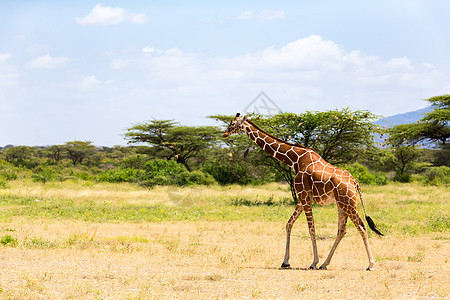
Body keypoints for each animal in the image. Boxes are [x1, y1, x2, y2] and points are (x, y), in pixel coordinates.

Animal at [222, 113, 384, 270]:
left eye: (232, 124)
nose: (224, 134)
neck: (295, 160)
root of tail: (355, 182)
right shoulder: (302, 198)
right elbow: (289, 224)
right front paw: (286, 261)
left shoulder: (305, 197)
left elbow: (311, 228)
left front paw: (313, 262)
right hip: (342, 203)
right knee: (342, 230)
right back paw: (325, 264)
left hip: (348, 203)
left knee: (361, 226)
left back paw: (370, 264)